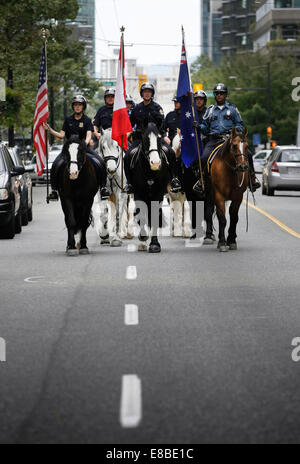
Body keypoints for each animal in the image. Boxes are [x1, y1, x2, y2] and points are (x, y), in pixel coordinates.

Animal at [129, 121, 171, 252]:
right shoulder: (138, 194)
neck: (150, 173)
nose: (155, 163)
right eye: (144, 139)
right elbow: (141, 214)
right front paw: (143, 237)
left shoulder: (158, 194)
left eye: (159, 138)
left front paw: (154, 244)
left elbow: (154, 216)